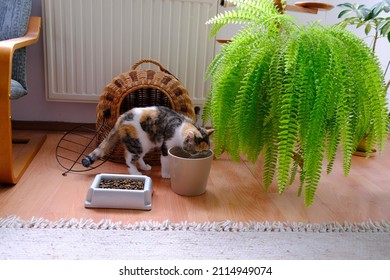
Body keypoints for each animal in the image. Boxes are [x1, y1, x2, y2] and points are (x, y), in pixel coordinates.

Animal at [81, 106, 213, 178]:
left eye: (206, 151)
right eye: (196, 152)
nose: (201, 156)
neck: (181, 125)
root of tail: (121, 118)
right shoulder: (165, 147)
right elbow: (165, 162)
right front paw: (166, 174)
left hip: (146, 143)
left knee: (138, 157)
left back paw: (144, 167)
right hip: (138, 143)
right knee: (129, 158)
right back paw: (135, 173)